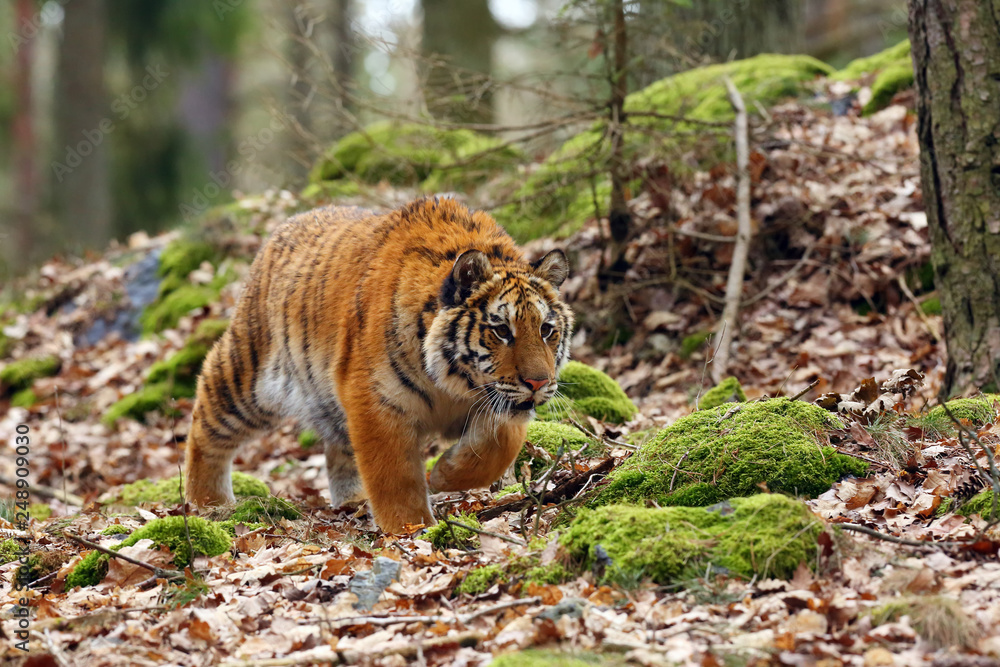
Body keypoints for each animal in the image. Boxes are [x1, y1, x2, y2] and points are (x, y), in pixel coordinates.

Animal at [180, 196, 572, 536]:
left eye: (546, 330)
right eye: (502, 330)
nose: (539, 383)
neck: (454, 384)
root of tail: (282, 228)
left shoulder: (497, 403)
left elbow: (502, 442)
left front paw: (445, 474)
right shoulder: (375, 400)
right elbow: (394, 475)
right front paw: (411, 529)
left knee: (338, 452)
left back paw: (352, 503)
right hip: (249, 377)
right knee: (205, 418)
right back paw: (208, 505)